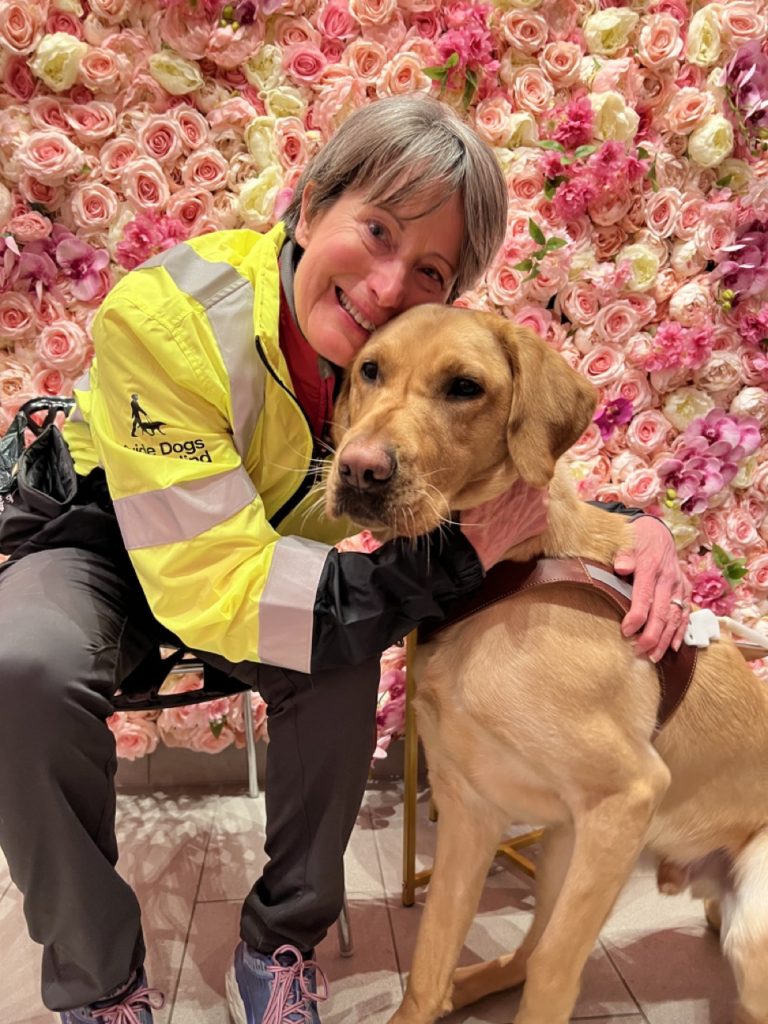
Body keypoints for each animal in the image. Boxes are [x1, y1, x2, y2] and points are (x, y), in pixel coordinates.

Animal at [325, 307, 768, 1024]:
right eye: (370, 370)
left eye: (465, 387)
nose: (359, 469)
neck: (506, 574)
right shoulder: (470, 810)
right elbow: (429, 956)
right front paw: (426, 998)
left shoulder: (627, 795)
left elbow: (556, 971)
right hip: (564, 844)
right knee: (519, 956)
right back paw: (462, 988)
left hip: (731, 918)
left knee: (546, 957)